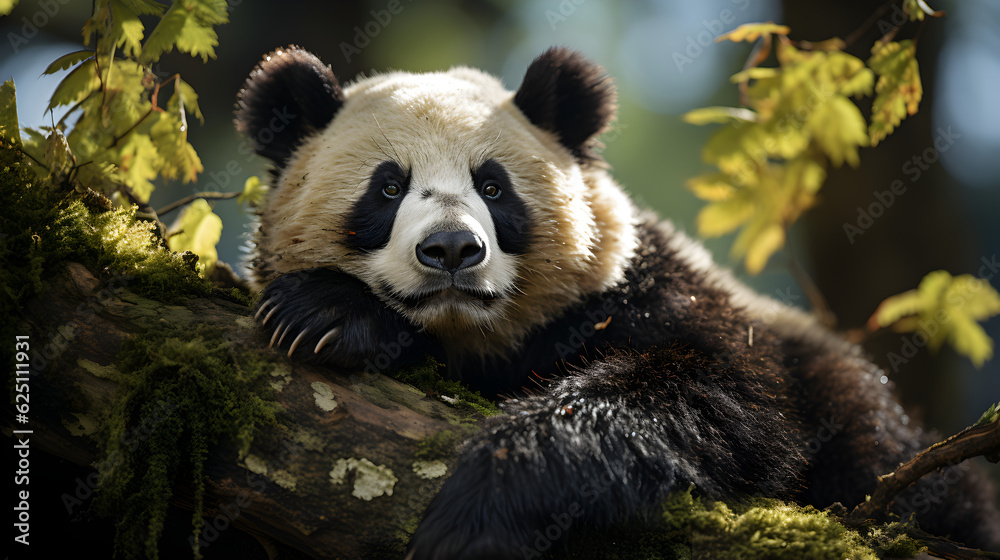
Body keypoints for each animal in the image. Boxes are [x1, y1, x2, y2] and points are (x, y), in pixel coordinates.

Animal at [235, 46, 1000, 558]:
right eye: (389, 187)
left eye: (493, 186)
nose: (452, 250)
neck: (477, 337)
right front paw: (326, 314)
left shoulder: (647, 290)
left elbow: (718, 394)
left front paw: (485, 502)